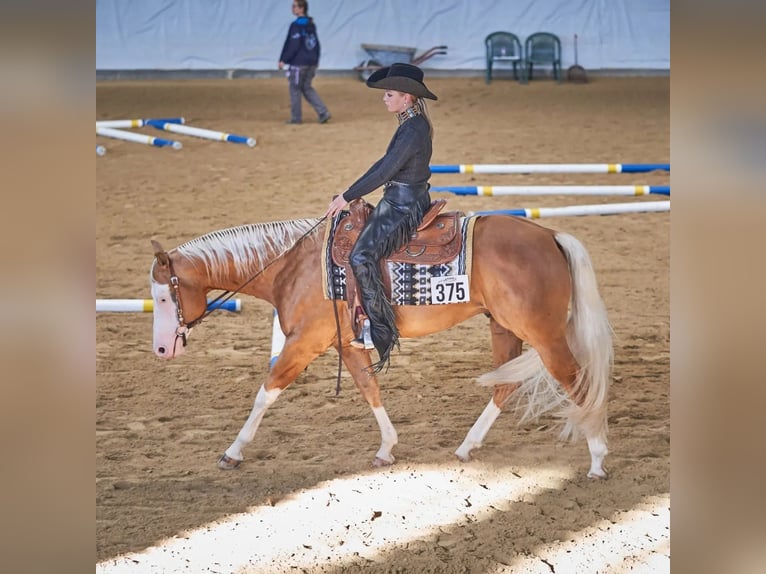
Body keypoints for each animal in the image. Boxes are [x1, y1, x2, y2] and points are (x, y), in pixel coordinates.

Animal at [149, 211, 613, 479]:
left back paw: (596, 459)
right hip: (504, 328)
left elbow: (266, 392)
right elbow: (369, 389)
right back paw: (467, 446)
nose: (161, 351)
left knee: (578, 382)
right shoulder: (347, 345)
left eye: (163, 297)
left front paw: (232, 452)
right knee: (505, 384)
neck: (291, 264)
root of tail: (550, 234)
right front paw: (387, 449)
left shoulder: (304, 343)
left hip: (544, 334)